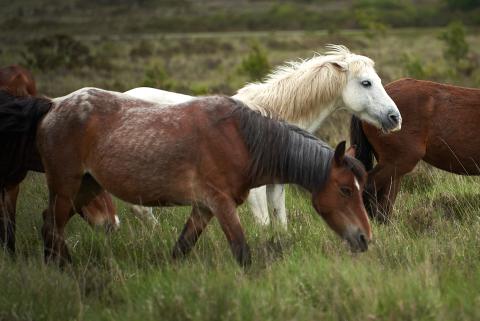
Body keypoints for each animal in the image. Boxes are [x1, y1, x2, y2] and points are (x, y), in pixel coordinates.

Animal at [32, 87, 372, 264]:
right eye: (346, 190)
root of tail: (54, 106)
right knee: (51, 227)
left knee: (49, 224)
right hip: (66, 187)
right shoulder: (221, 204)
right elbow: (242, 252)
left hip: (85, 188)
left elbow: (181, 248)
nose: (365, 238)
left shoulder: (204, 207)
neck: (241, 139)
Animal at [124, 44, 402, 228]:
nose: (395, 118)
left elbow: (280, 221)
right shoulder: (254, 189)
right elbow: (264, 223)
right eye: (366, 83)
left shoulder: (276, 184)